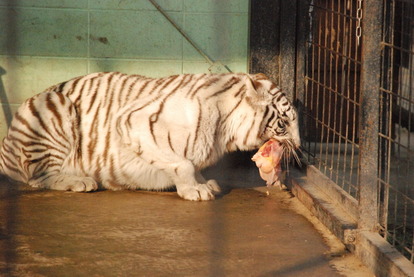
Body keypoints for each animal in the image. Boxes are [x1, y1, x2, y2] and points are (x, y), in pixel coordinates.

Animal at [0, 72, 300, 199]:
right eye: (283, 123)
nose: (299, 146)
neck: (225, 131)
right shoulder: (133, 121)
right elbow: (183, 163)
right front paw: (194, 190)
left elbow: (193, 165)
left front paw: (205, 183)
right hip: (55, 105)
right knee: (37, 177)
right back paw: (79, 181)